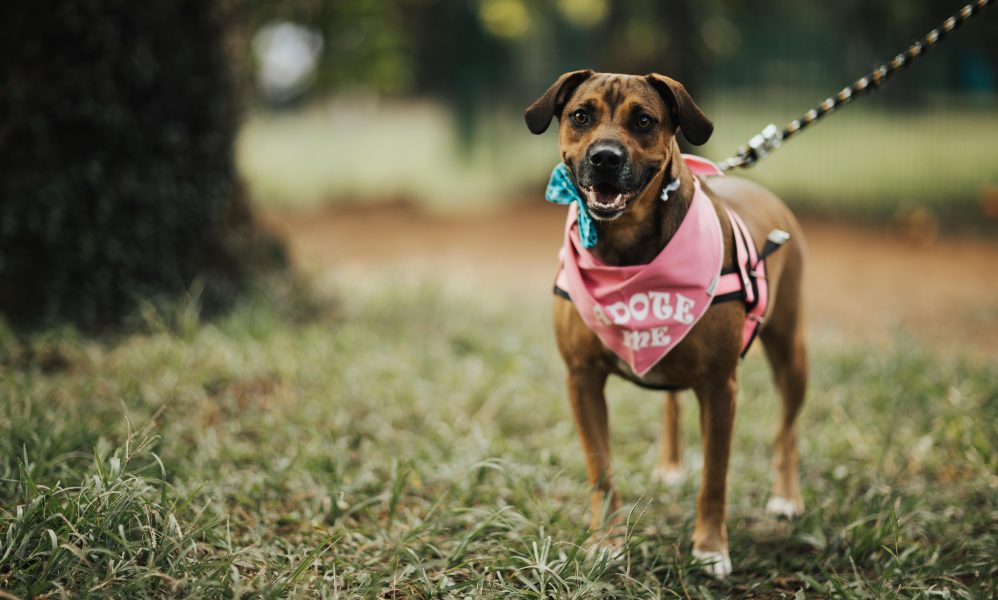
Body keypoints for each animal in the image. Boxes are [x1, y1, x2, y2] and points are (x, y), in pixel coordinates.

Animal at [528, 70, 808, 576]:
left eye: (643, 120)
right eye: (581, 115)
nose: (604, 157)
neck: (625, 248)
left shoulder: (720, 386)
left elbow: (715, 476)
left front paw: (711, 548)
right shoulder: (581, 377)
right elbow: (601, 469)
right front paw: (606, 542)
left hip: (790, 349)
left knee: (787, 430)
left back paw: (786, 497)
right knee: (672, 404)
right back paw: (671, 465)